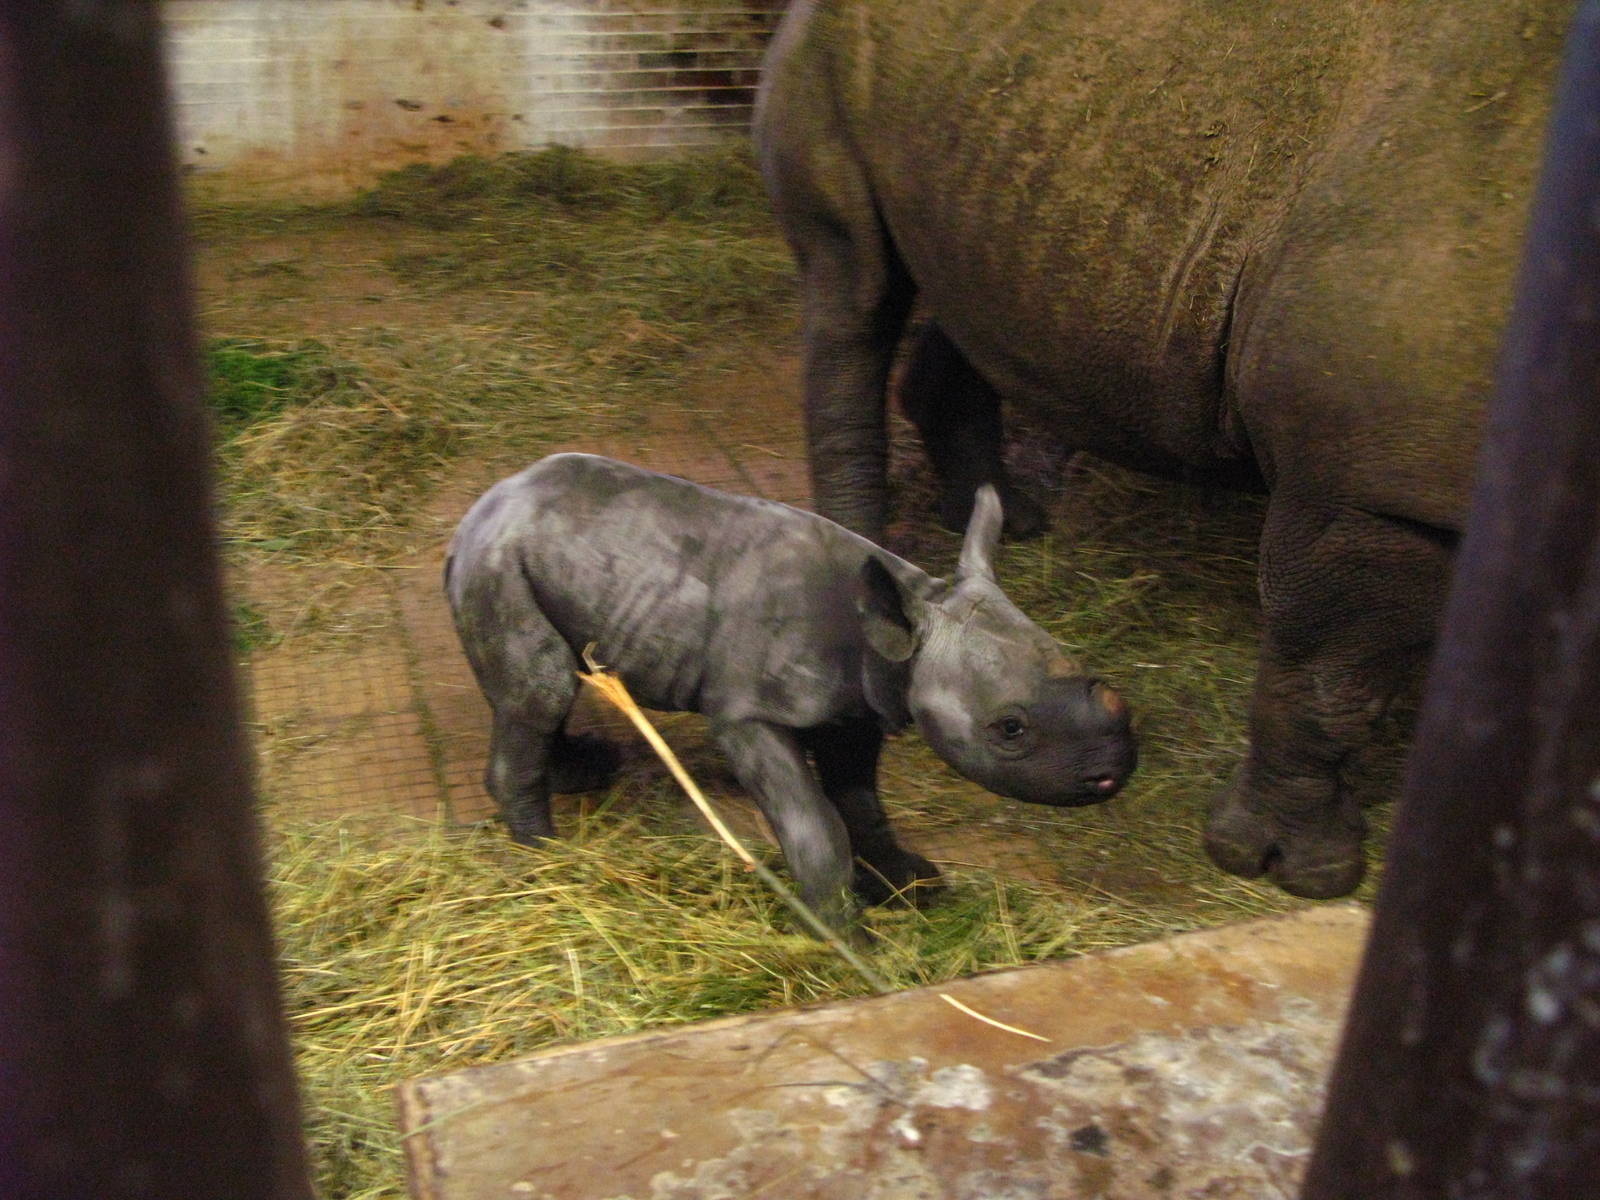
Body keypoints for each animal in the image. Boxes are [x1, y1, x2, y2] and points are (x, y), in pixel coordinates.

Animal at [445, 453, 1137, 929]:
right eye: (1010, 730)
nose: (1115, 770)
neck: (896, 634)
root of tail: (478, 511)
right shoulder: (747, 715)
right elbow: (815, 821)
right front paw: (843, 938)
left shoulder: (855, 711)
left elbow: (860, 801)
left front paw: (910, 887)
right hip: (497, 564)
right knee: (539, 687)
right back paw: (552, 867)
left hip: (537, 560)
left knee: (548, 687)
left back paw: (585, 772)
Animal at [754, 0, 1570, 897]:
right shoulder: (1371, 480)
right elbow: (1326, 671)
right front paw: (1288, 868)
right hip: (826, 57)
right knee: (855, 283)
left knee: (972, 296)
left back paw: (1011, 519)